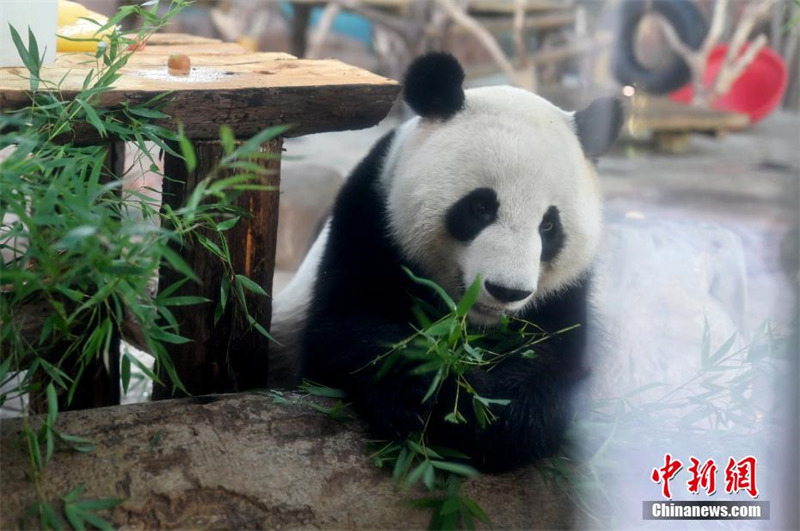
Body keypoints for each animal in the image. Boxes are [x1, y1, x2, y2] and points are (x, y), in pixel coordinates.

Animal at [272, 52, 623, 472]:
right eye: (480, 207)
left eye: (549, 225)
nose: (506, 290)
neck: (474, 321)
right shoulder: (371, 223)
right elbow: (341, 333)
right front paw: (431, 390)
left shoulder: (565, 291)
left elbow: (556, 366)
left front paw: (489, 417)